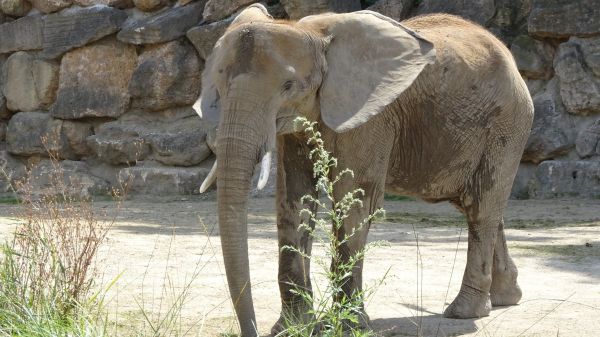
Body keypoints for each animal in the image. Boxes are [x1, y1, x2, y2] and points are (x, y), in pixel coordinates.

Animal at [196, 3, 536, 334]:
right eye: (219, 86)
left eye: (288, 86)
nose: (251, 330)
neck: (311, 34)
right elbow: (294, 202)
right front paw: (291, 327)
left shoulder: (371, 118)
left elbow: (355, 203)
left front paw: (349, 326)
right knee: (475, 203)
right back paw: (506, 298)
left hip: (507, 122)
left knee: (482, 207)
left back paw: (464, 312)